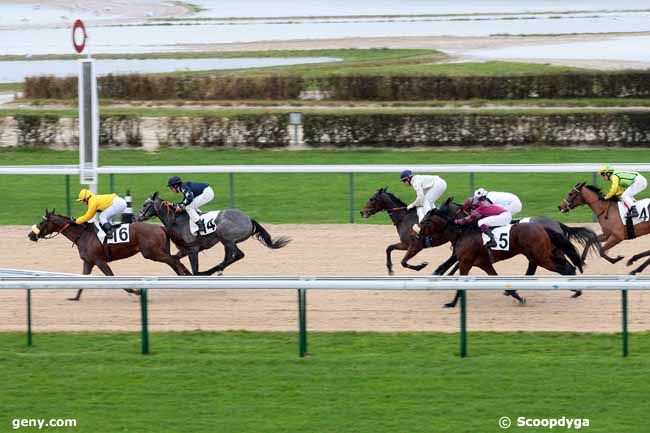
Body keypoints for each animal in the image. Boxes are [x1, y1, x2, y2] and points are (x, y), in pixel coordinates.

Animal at [28, 209, 190, 300]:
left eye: (41, 222)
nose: (30, 235)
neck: (83, 235)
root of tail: (161, 227)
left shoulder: (100, 261)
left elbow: (112, 278)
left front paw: (136, 291)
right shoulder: (88, 262)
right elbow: (83, 278)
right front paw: (75, 297)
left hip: (152, 253)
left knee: (174, 261)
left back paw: (184, 277)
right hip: (159, 251)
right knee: (176, 261)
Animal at [136, 192, 288, 274]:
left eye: (144, 205)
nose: (135, 218)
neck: (176, 220)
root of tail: (249, 219)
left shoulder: (193, 250)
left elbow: (195, 271)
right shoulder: (183, 250)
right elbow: (175, 259)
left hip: (226, 238)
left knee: (238, 255)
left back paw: (213, 270)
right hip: (226, 242)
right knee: (230, 257)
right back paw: (218, 269)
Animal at [420, 199, 592, 308]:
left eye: (425, 222)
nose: (421, 237)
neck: (466, 230)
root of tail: (549, 226)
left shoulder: (466, 261)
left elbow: (458, 275)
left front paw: (451, 302)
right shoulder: (482, 263)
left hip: (542, 257)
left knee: (565, 268)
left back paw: (576, 290)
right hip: (543, 254)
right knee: (563, 267)